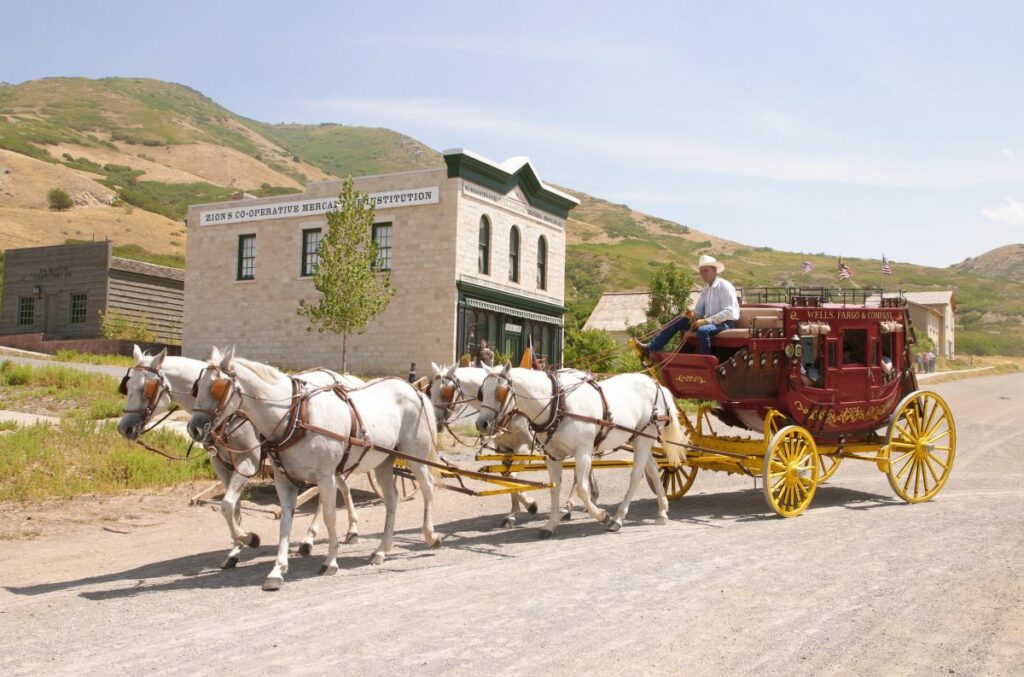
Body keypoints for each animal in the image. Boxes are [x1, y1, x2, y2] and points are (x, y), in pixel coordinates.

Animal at [117, 346, 364, 569]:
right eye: (127, 386)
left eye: (146, 388)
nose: (124, 428)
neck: (232, 415)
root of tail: (342, 377)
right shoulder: (221, 464)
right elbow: (233, 508)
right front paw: (236, 549)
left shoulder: (247, 463)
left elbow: (227, 505)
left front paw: (249, 538)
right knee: (341, 486)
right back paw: (348, 530)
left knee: (326, 494)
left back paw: (311, 538)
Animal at [187, 346, 440, 589]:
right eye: (197, 387)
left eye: (218, 388)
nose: (194, 429)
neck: (295, 416)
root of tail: (413, 390)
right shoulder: (284, 479)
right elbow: (285, 520)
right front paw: (276, 569)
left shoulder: (325, 476)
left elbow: (329, 516)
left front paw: (330, 561)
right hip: (384, 462)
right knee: (392, 498)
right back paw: (382, 550)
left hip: (414, 455)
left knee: (427, 487)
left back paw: (430, 536)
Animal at [473, 366, 684, 536]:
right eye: (482, 392)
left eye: (500, 392)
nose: (481, 424)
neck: (560, 405)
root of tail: (655, 384)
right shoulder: (553, 456)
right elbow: (554, 488)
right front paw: (550, 524)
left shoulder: (583, 452)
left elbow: (583, 489)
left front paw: (602, 515)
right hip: (638, 438)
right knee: (653, 470)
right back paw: (662, 511)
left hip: (644, 438)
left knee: (636, 475)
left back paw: (617, 518)